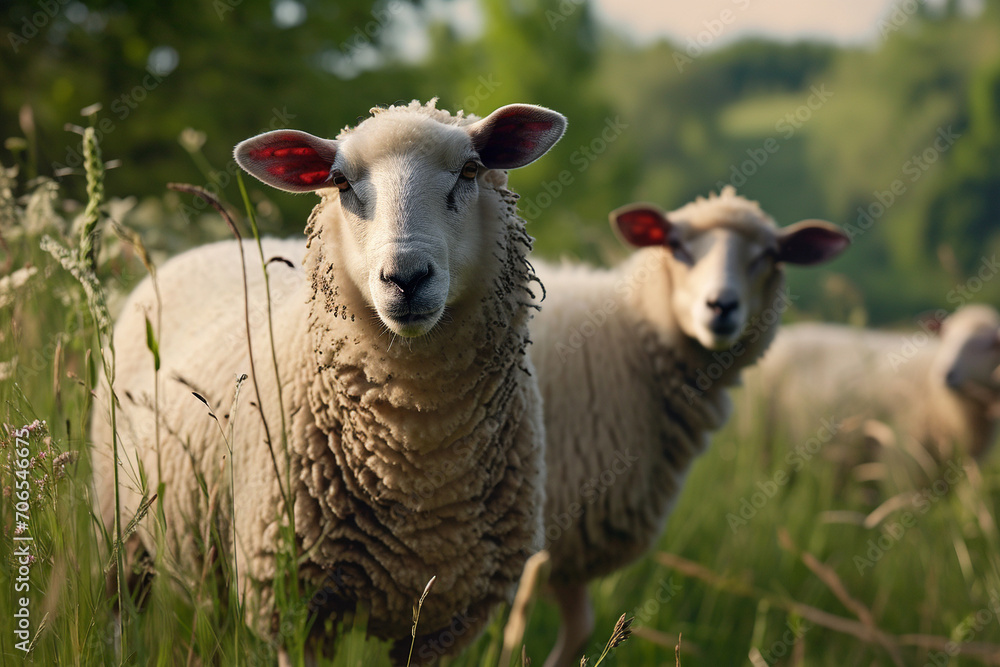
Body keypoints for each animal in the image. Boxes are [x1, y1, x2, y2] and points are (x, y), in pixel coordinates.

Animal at [89, 99, 566, 663]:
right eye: (340, 182)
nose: (406, 278)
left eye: (470, 170)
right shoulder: (294, 604)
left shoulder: (443, 622)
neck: (418, 442)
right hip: (120, 524)